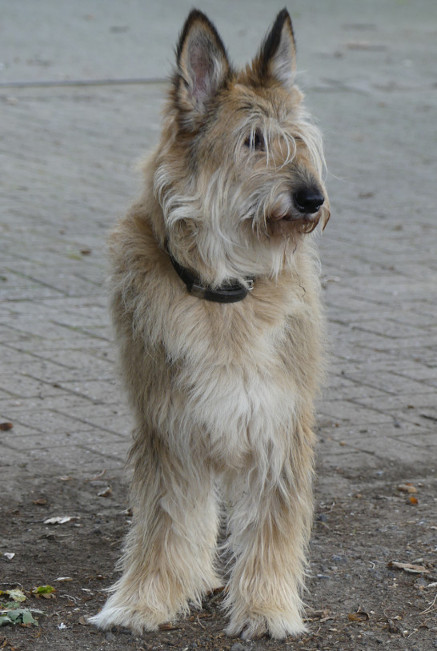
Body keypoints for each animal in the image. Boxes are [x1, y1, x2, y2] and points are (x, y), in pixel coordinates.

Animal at [90, 8, 328, 640]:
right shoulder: (169, 427)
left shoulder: (277, 420)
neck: (225, 291)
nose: (312, 198)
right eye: (253, 141)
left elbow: (272, 524)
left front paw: (267, 608)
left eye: (300, 141)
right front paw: (144, 601)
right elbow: (167, 524)